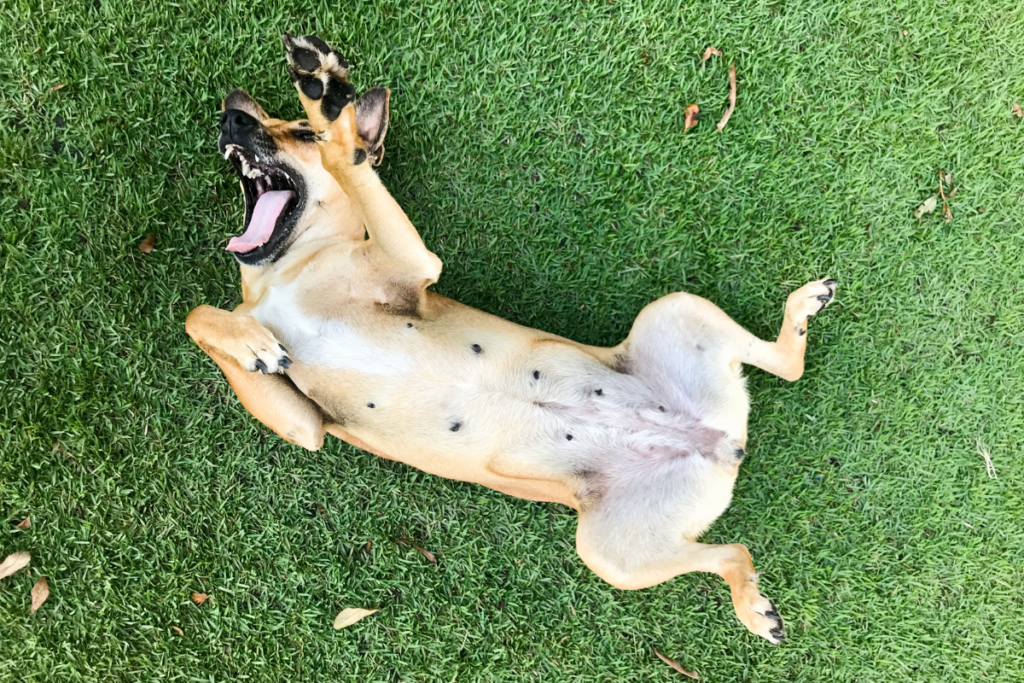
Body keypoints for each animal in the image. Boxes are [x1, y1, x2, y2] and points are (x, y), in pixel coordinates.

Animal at [186, 33, 839, 643]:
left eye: (298, 132)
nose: (232, 116)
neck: (282, 273)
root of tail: (722, 443)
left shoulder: (413, 263)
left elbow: (347, 163)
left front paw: (322, 89)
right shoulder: (304, 425)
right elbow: (200, 316)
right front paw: (249, 341)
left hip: (672, 321)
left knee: (784, 379)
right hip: (616, 550)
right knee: (735, 544)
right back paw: (754, 604)